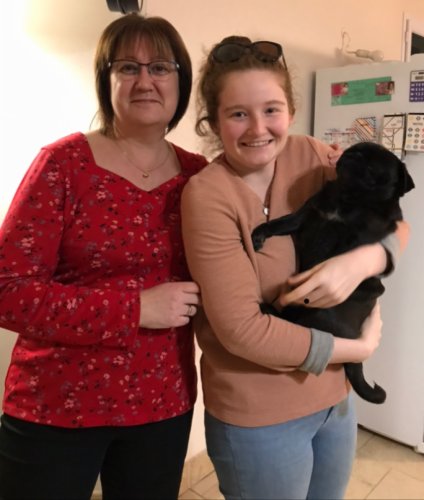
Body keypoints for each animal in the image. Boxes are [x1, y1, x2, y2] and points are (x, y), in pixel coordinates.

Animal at [252, 141, 415, 404]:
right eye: (355, 149)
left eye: (372, 168)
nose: (351, 153)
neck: (347, 200)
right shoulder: (304, 216)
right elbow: (278, 223)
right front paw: (258, 234)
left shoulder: (352, 242)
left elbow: (330, 259)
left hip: (320, 313)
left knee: (300, 326)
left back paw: (270, 308)